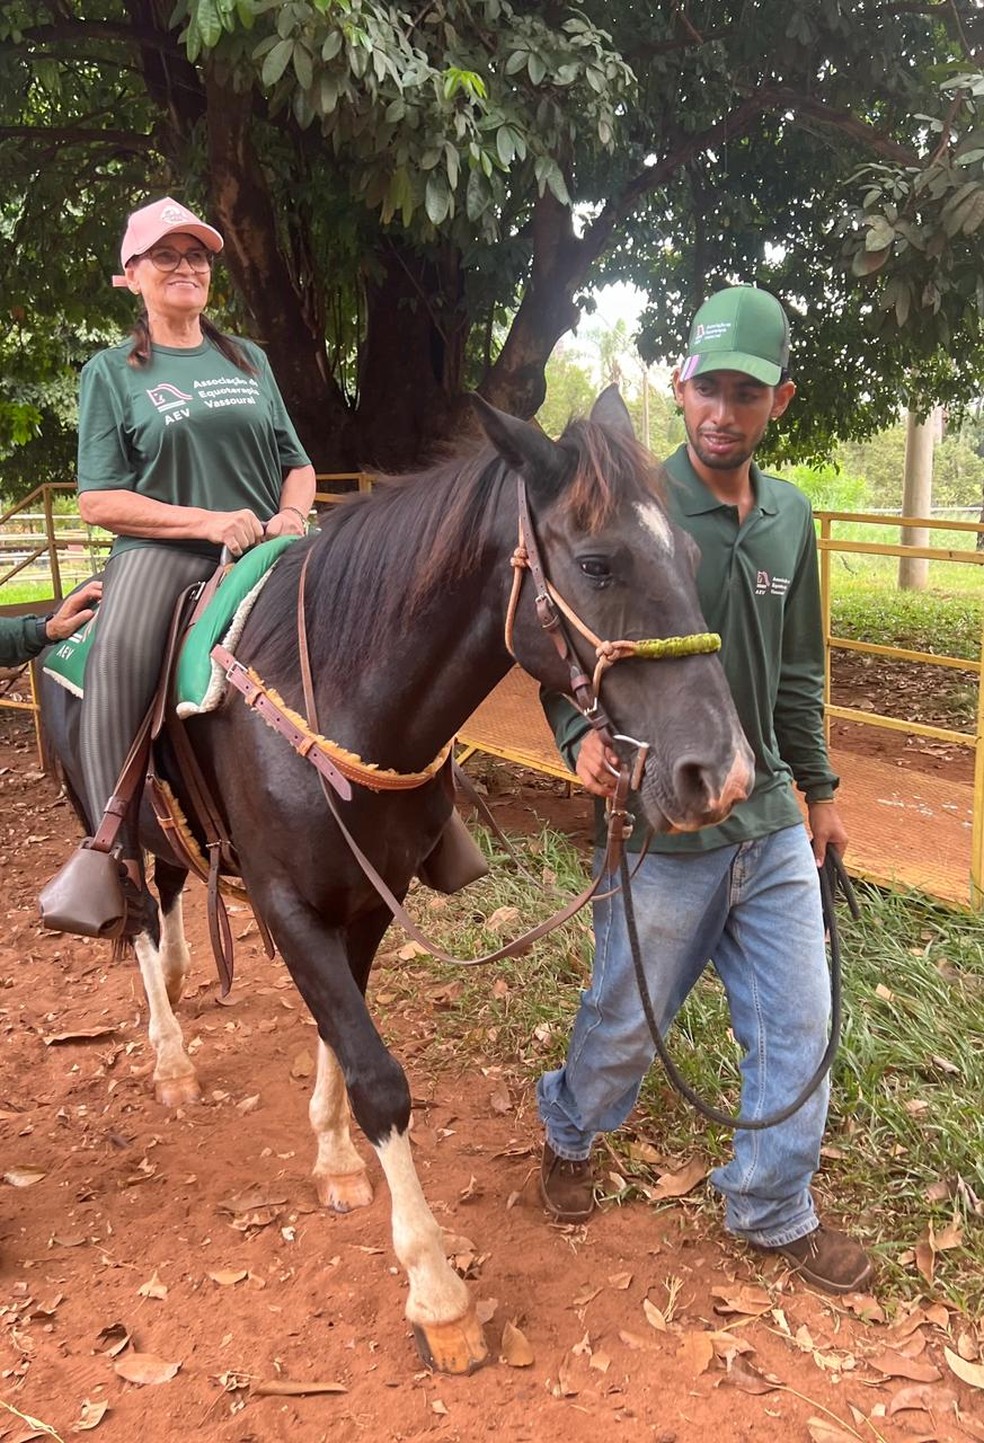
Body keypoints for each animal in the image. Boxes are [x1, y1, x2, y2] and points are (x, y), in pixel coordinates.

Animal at [40, 392, 750, 1373]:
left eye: (688, 553)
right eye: (598, 563)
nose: (720, 774)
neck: (340, 691)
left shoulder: (372, 899)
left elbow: (342, 1034)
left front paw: (337, 1156)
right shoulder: (287, 904)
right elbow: (378, 1073)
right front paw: (438, 1292)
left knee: (174, 890)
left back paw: (184, 984)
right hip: (98, 806)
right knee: (139, 910)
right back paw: (172, 1059)